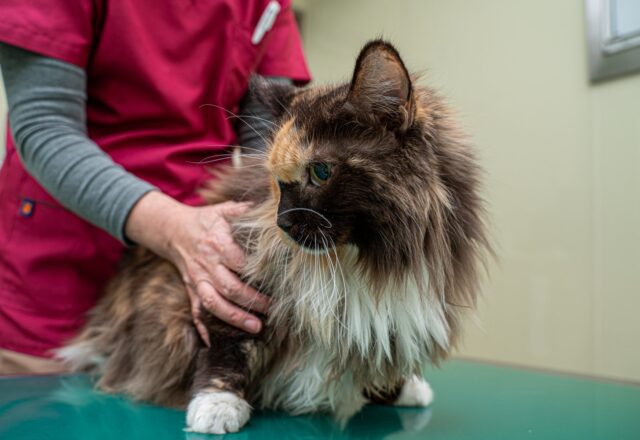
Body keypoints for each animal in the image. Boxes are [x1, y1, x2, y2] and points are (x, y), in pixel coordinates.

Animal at [58, 40, 490, 434]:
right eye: (276, 183)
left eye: (320, 172)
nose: (282, 223)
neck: (359, 261)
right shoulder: (236, 282)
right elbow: (228, 346)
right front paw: (216, 407)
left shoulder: (393, 316)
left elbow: (378, 345)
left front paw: (400, 388)